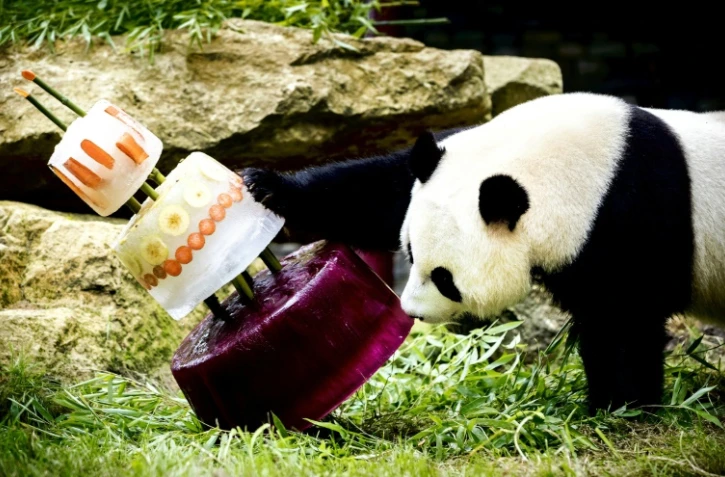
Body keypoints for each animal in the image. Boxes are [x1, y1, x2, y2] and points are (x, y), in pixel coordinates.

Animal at [243, 92, 725, 414]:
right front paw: (266, 187)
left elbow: (623, 318)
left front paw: (617, 406)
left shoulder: (629, 216)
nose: (411, 311)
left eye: (445, 278)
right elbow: (379, 191)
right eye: (409, 250)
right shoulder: (452, 155)